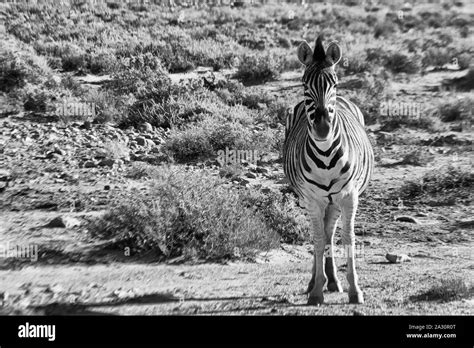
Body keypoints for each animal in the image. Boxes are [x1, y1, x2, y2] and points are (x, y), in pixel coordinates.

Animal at [286, 35, 374, 304]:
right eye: (304, 84)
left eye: (334, 83)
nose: (323, 128)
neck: (325, 155)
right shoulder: (312, 199)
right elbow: (317, 239)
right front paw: (316, 290)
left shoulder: (349, 196)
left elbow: (348, 238)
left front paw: (355, 290)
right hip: (316, 200)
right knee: (322, 234)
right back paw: (318, 281)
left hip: (334, 200)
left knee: (330, 230)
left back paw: (333, 280)